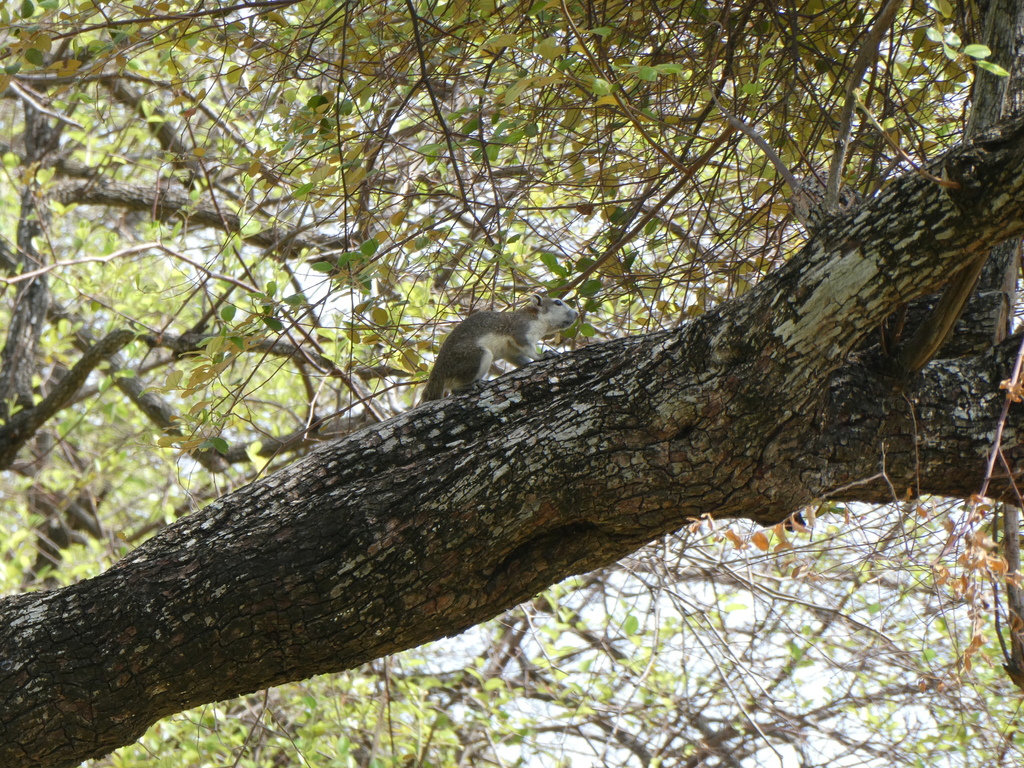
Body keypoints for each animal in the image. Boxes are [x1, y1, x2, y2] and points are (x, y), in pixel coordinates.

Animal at [415, 294, 577, 403]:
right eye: (558, 302)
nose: (576, 313)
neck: (538, 319)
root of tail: (438, 372)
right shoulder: (520, 329)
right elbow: (527, 347)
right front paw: (542, 356)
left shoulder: (512, 352)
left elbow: (519, 358)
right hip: (475, 356)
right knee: (455, 387)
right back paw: (470, 385)